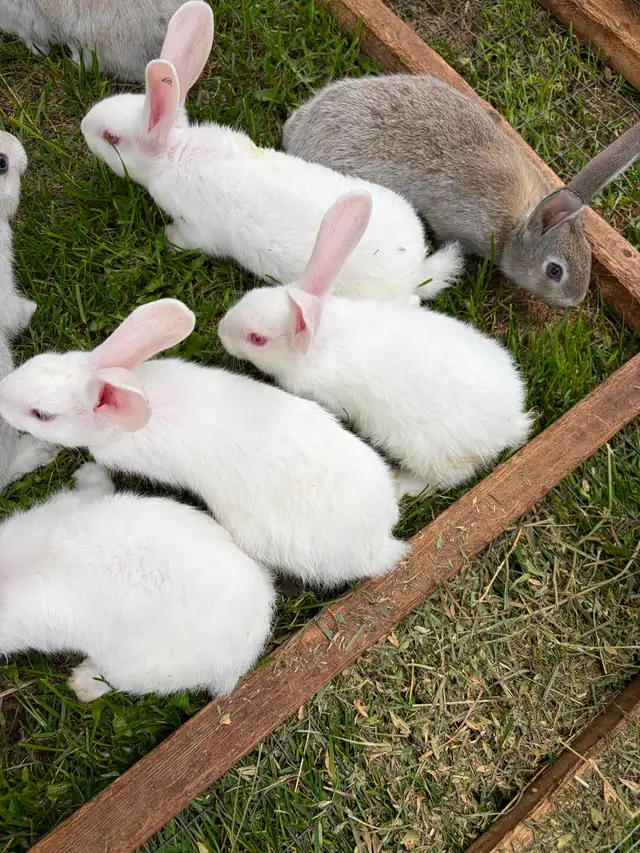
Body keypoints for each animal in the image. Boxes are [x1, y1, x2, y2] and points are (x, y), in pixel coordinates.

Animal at [79, 2, 463, 305]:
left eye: (111, 138)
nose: (84, 125)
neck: (174, 154)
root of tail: (416, 270)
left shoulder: (196, 228)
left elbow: (189, 239)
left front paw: (168, 240)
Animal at [218, 191, 533, 496]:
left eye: (257, 339)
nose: (221, 331)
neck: (320, 339)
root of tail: (509, 423)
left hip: (434, 457)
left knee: (440, 481)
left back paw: (402, 484)